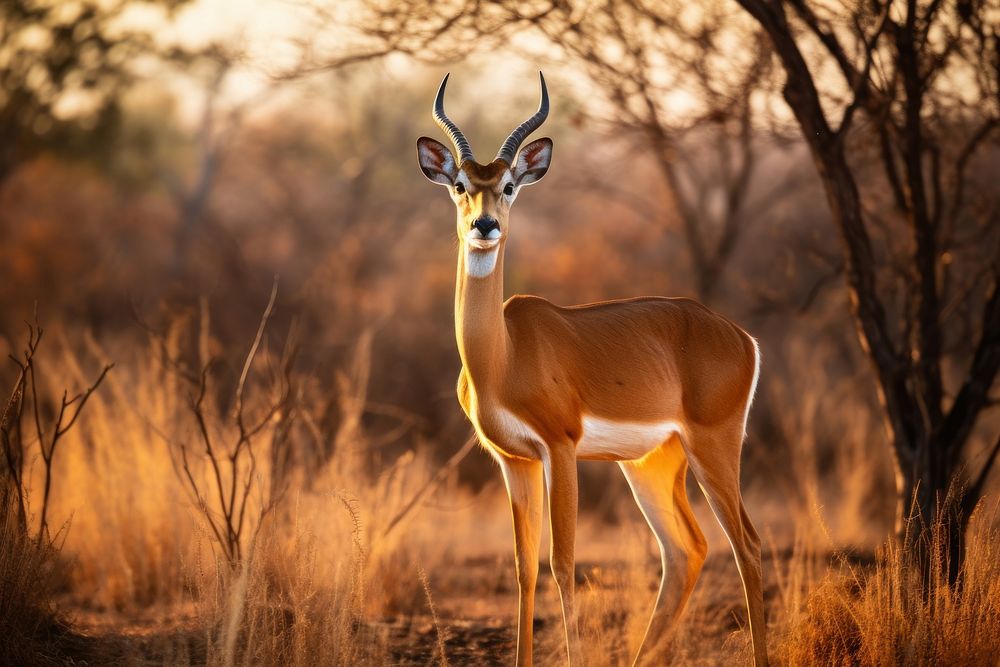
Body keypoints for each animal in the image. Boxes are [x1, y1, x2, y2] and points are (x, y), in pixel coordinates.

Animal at [418, 73, 768, 667]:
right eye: (461, 184)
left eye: (509, 185)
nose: (484, 226)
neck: (503, 355)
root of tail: (740, 336)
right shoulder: (513, 460)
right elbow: (523, 570)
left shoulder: (560, 450)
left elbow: (562, 563)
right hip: (651, 464)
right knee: (686, 549)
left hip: (714, 448)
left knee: (745, 543)